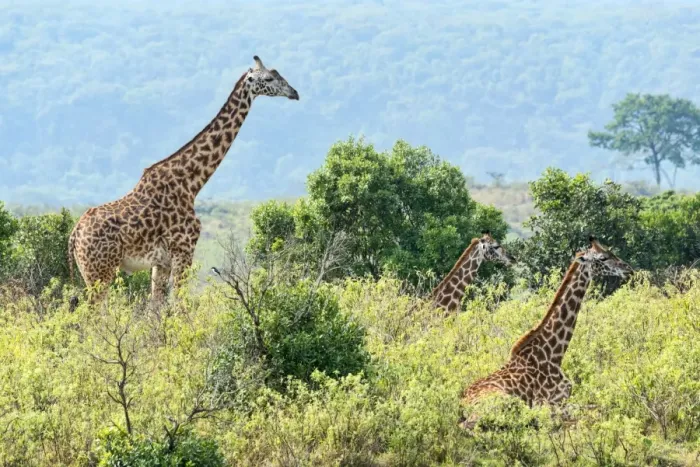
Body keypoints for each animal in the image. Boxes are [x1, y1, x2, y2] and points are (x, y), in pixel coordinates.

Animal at [68, 56, 299, 305]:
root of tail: (74, 235)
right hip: (100, 272)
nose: (294, 93)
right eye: (269, 78)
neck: (191, 183)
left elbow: (156, 308)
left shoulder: (161, 262)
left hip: (92, 272)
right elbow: (181, 305)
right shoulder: (184, 250)